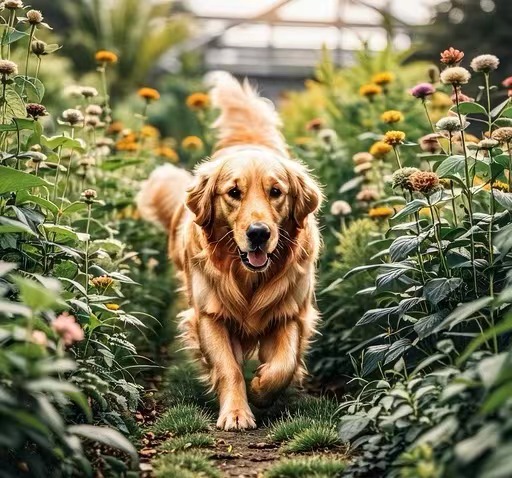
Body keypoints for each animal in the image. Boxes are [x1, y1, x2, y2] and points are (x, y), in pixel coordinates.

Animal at [138, 73, 322, 432]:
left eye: (276, 192)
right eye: (233, 192)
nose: (258, 233)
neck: (247, 277)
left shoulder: (291, 312)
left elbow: (284, 365)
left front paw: (262, 388)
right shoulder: (209, 315)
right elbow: (229, 368)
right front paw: (236, 412)